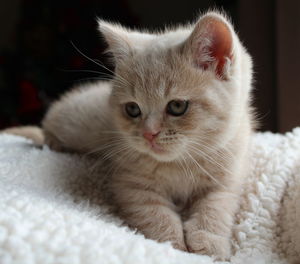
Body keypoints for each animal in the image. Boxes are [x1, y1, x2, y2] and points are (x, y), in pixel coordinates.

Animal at [6, 11, 255, 258]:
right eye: (133, 109)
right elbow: (157, 216)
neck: (179, 163)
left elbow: (215, 208)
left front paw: (210, 244)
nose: (149, 134)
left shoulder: (227, 177)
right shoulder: (132, 185)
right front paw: (173, 246)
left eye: (177, 106)